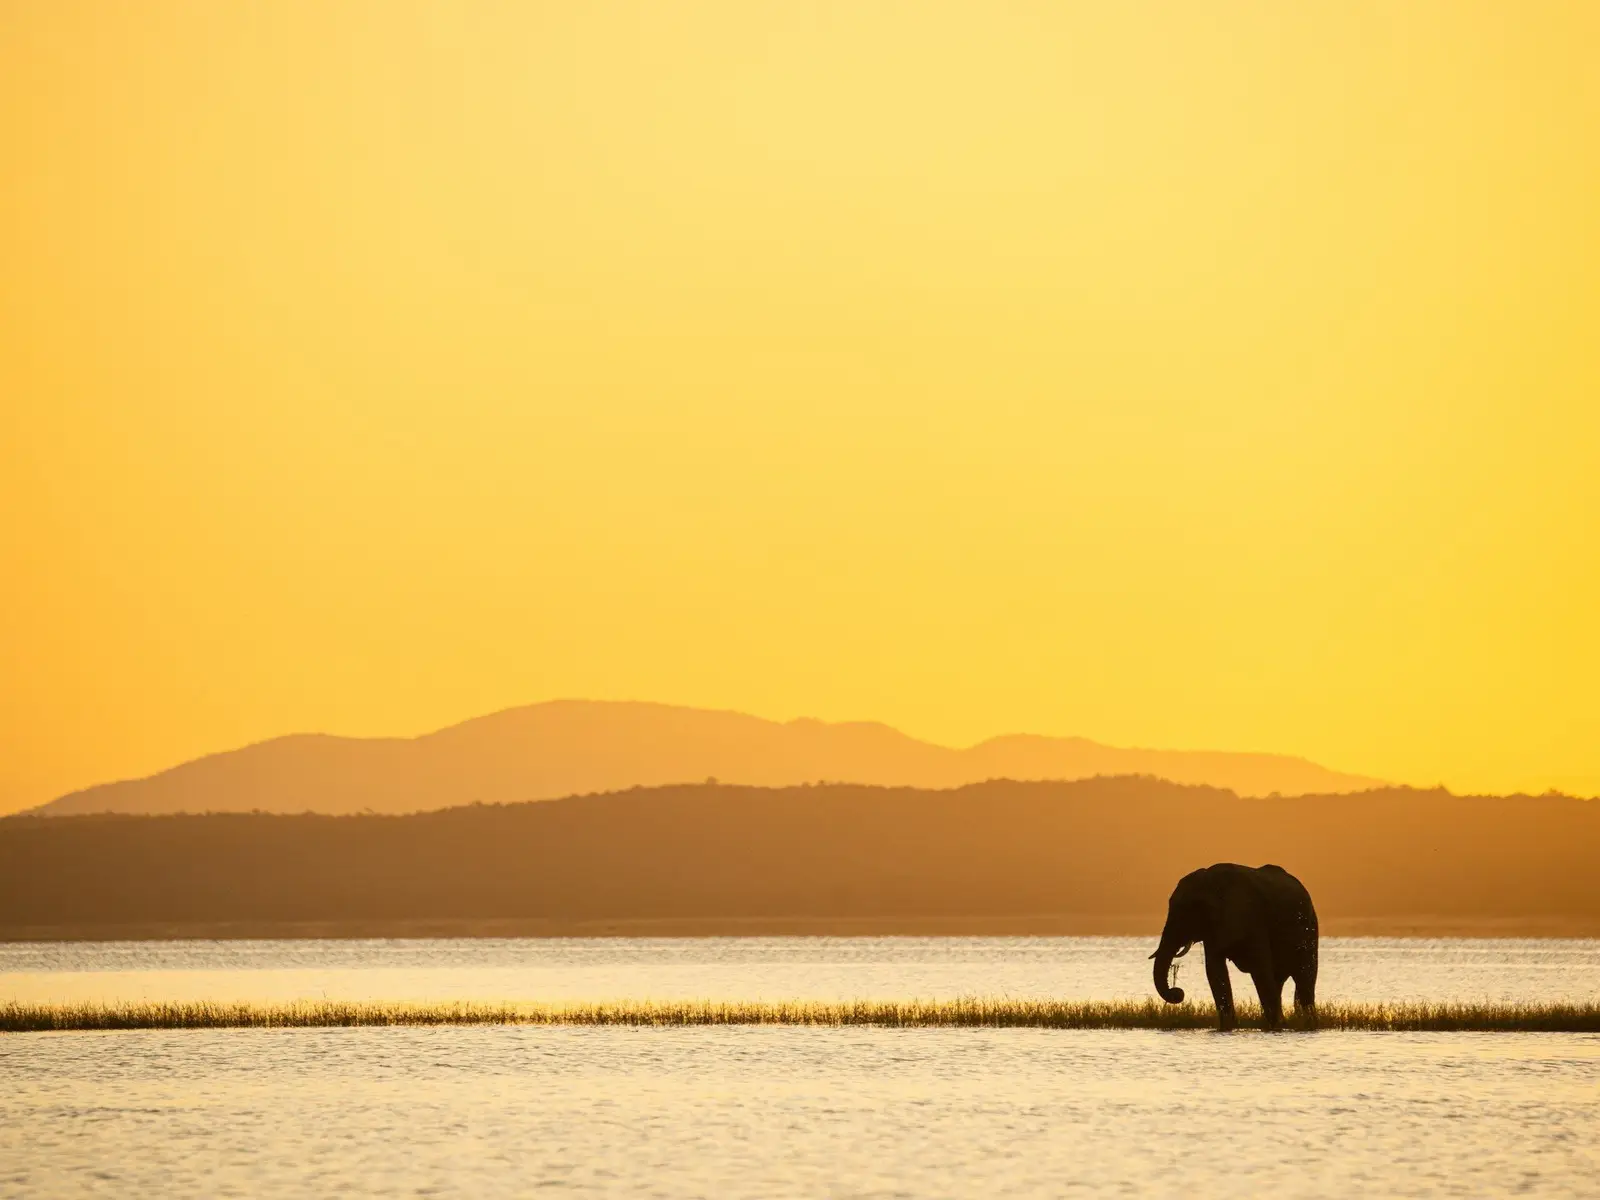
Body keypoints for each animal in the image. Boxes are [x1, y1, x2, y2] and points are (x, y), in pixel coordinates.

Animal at [1150, 863, 1318, 1031]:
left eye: (1188, 911)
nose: (1178, 992)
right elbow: (1215, 971)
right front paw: (1229, 1027)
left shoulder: (1252, 919)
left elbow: (1260, 969)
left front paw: (1275, 1027)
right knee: (1280, 981)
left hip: (1309, 929)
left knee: (1305, 977)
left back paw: (1308, 1024)